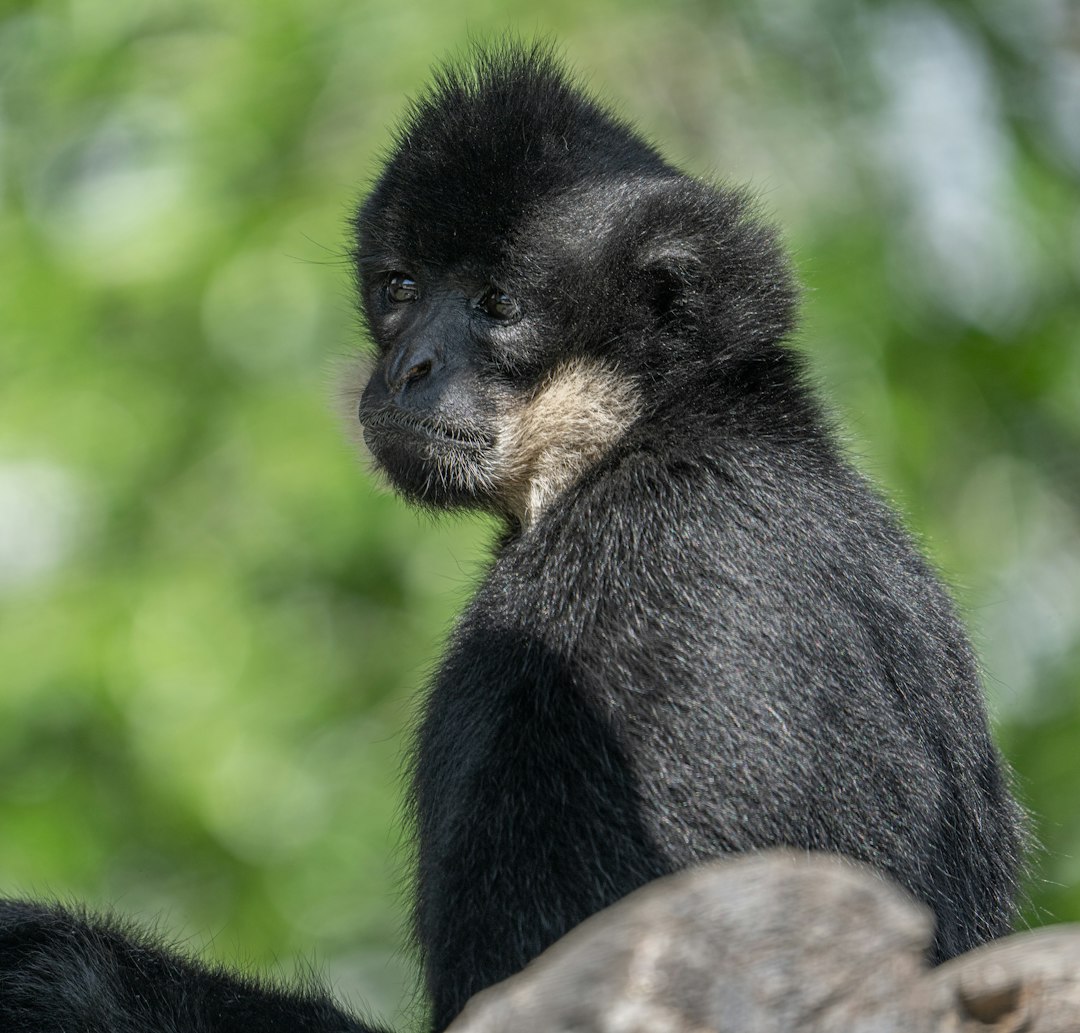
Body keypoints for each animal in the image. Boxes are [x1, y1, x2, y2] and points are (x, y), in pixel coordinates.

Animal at [0, 40, 1023, 1033]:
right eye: (401, 287)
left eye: (497, 304)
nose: (409, 365)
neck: (660, 432)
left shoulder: (667, 590)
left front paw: (54, 968)